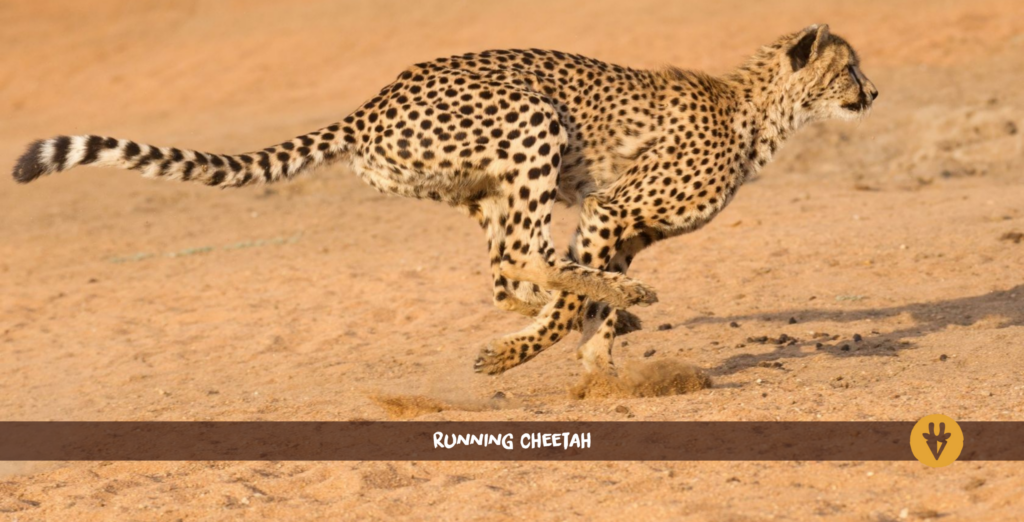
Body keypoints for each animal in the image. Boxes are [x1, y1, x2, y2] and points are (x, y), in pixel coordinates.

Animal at [11, 24, 877, 378]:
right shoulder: (609, 212)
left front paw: (599, 358)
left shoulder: (622, 227)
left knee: (503, 270)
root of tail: (374, 99)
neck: (760, 112)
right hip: (532, 124)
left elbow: (581, 301)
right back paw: (588, 311)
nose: (874, 92)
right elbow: (577, 295)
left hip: (485, 185)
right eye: (849, 68)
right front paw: (541, 353)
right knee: (524, 257)